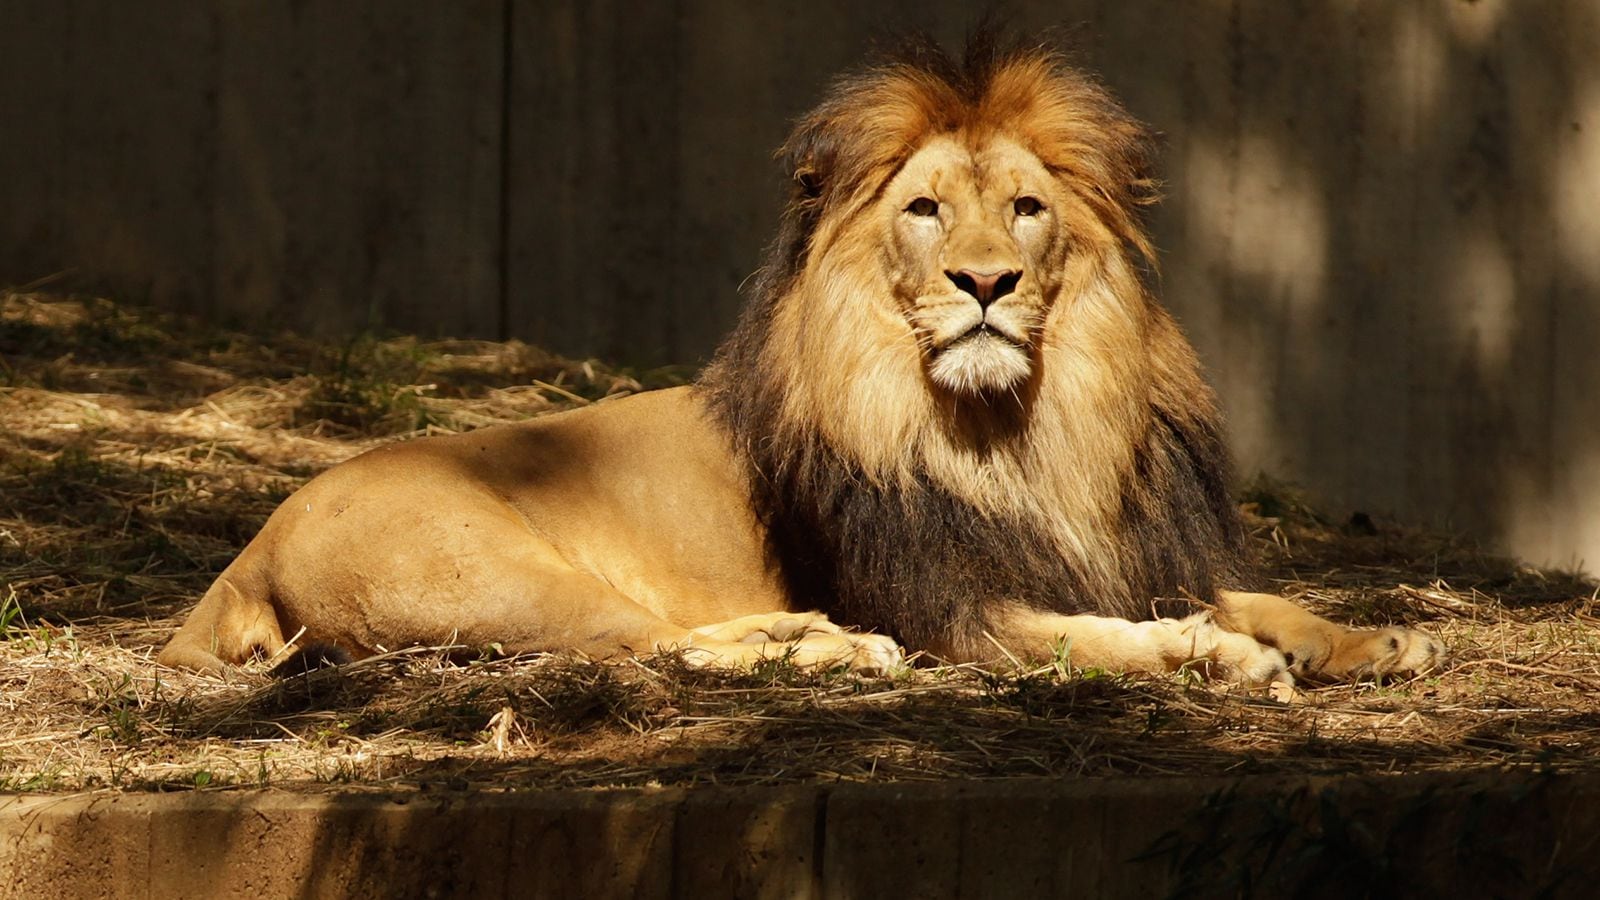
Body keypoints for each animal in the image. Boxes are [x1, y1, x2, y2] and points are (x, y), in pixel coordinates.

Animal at [156, 33, 1446, 679]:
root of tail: (248, 549)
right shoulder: (954, 607)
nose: (987, 283)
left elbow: (1262, 595)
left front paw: (1370, 635)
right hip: (502, 577)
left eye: (1025, 209)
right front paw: (1214, 656)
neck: (1017, 435)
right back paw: (825, 650)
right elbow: (1097, 639)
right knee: (659, 648)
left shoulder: (1122, 552)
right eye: (925, 211)